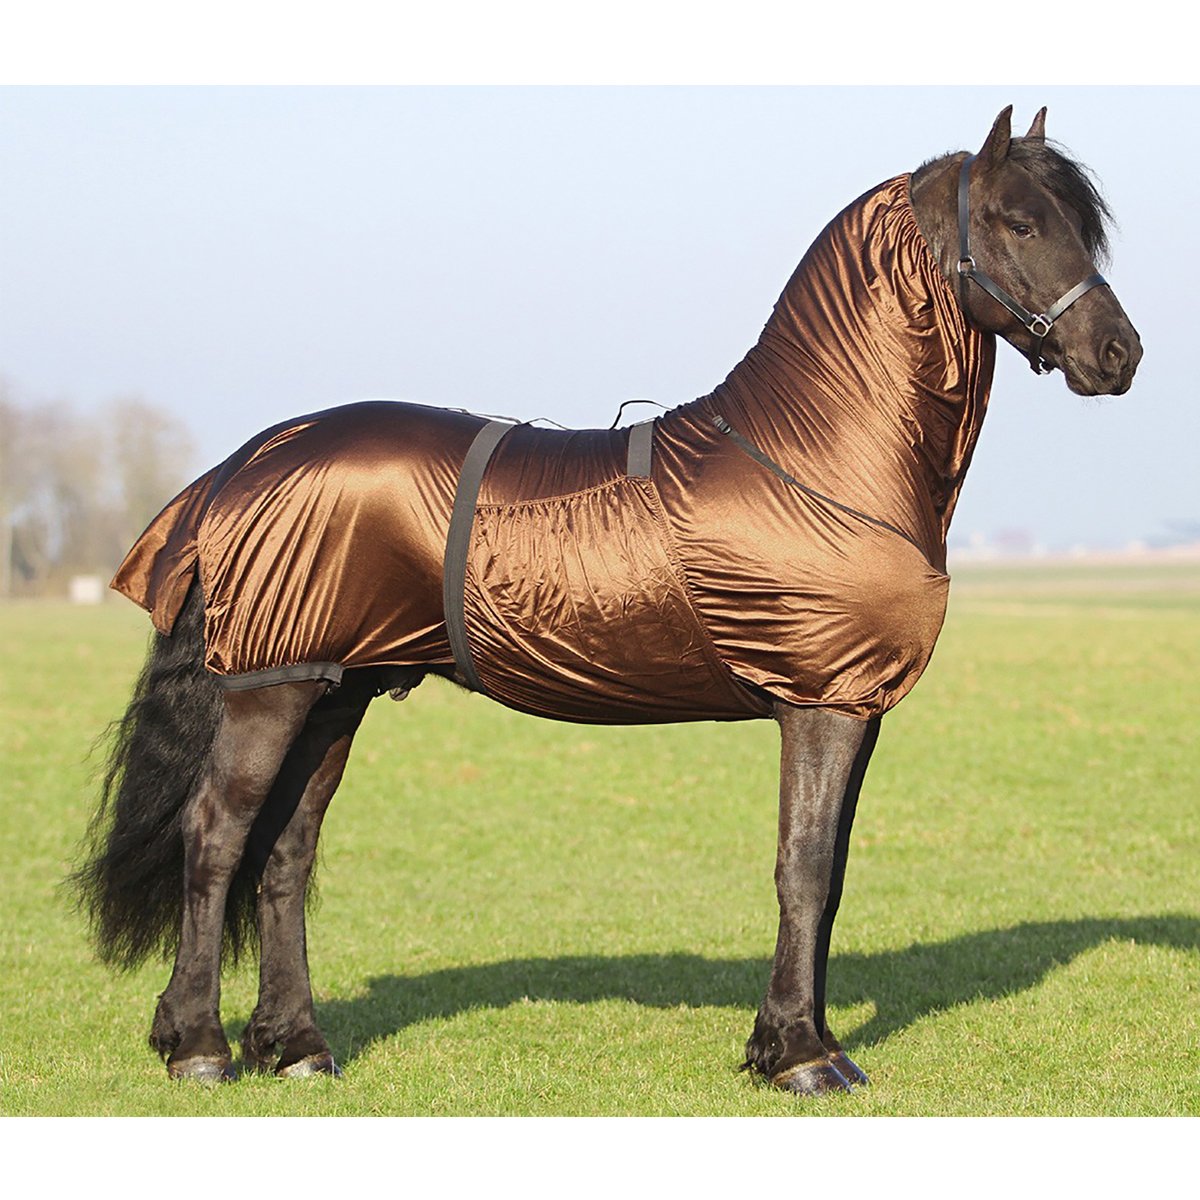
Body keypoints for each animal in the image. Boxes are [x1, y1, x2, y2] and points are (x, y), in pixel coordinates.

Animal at [71, 106, 1141, 1095]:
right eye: (1017, 220)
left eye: (1080, 225)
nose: (1119, 354)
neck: (818, 457)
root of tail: (247, 462)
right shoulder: (822, 702)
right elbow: (802, 867)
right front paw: (798, 1056)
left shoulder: (856, 705)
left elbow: (831, 874)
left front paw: (803, 1042)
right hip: (273, 687)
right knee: (218, 837)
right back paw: (199, 1047)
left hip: (336, 688)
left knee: (287, 851)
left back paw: (295, 1046)